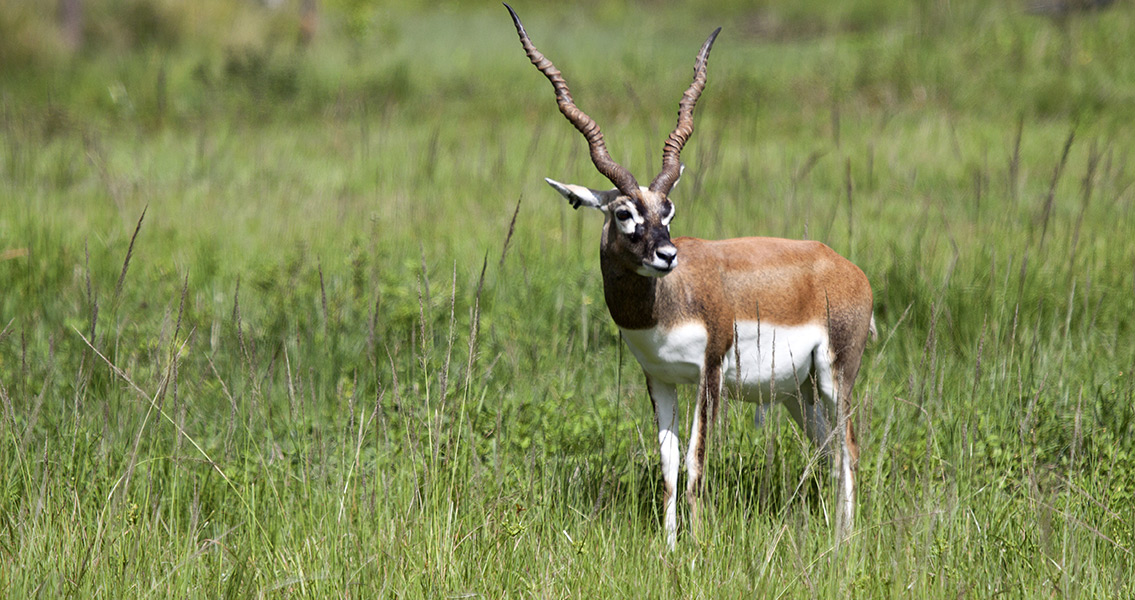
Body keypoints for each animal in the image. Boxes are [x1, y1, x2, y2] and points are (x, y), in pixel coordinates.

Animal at [508, 4, 876, 546]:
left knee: (848, 448)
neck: (664, 305)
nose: (667, 254)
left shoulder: (710, 372)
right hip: (798, 391)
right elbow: (668, 466)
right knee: (829, 449)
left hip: (836, 375)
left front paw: (699, 546)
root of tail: (847, 269)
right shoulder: (659, 379)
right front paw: (669, 546)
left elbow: (696, 464)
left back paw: (845, 544)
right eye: (624, 213)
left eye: (668, 210)